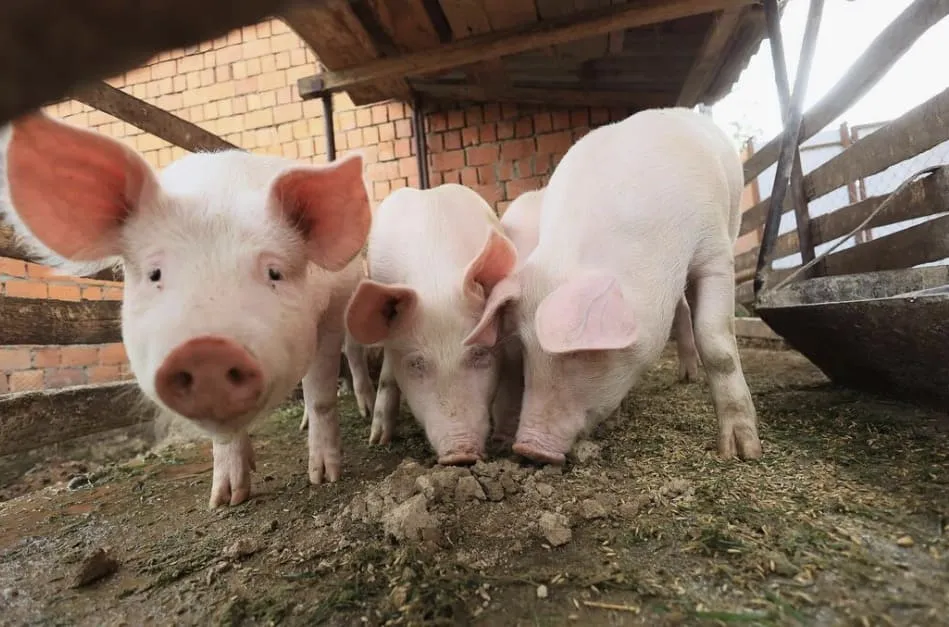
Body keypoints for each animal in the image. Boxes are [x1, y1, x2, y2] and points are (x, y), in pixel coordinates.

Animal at [0, 113, 372, 507]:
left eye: (274, 272)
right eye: (155, 273)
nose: (206, 350)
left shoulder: (329, 316)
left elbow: (321, 397)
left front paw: (325, 478)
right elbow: (224, 438)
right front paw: (225, 501)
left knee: (353, 355)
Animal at [465, 107, 762, 465]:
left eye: (580, 353)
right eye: (525, 348)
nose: (529, 448)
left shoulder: (715, 252)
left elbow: (717, 344)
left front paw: (741, 453)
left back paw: (691, 381)